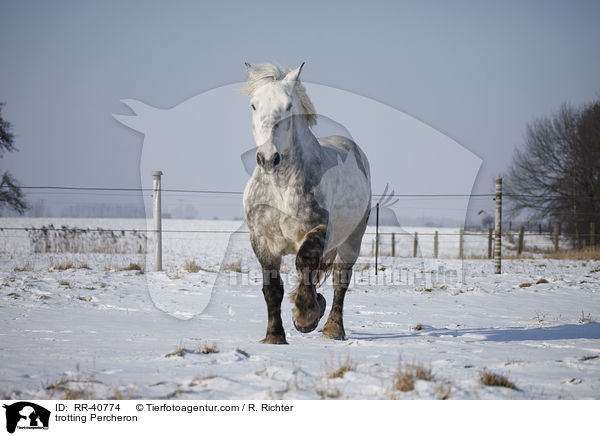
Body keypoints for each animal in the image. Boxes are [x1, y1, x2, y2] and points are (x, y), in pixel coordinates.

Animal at [243, 61, 370, 344]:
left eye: (289, 106)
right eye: (254, 105)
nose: (268, 158)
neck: (280, 190)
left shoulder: (317, 231)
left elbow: (305, 266)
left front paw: (306, 316)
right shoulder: (261, 240)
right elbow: (272, 287)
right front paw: (275, 336)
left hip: (351, 241)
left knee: (340, 281)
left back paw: (333, 329)